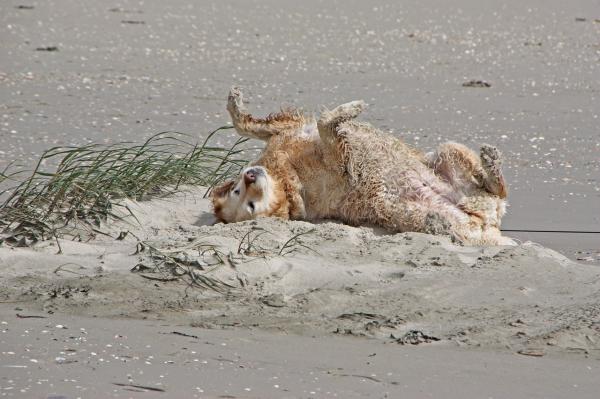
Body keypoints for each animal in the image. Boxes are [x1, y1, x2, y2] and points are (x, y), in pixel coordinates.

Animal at [213, 88, 512, 247]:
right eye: (249, 204)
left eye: (236, 190)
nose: (250, 176)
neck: (286, 174)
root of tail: (488, 222)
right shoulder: (340, 164)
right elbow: (325, 123)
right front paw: (350, 109)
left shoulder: (286, 129)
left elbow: (247, 125)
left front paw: (234, 102)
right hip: (402, 210)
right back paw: (438, 221)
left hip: (447, 151)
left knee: (497, 188)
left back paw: (491, 162)